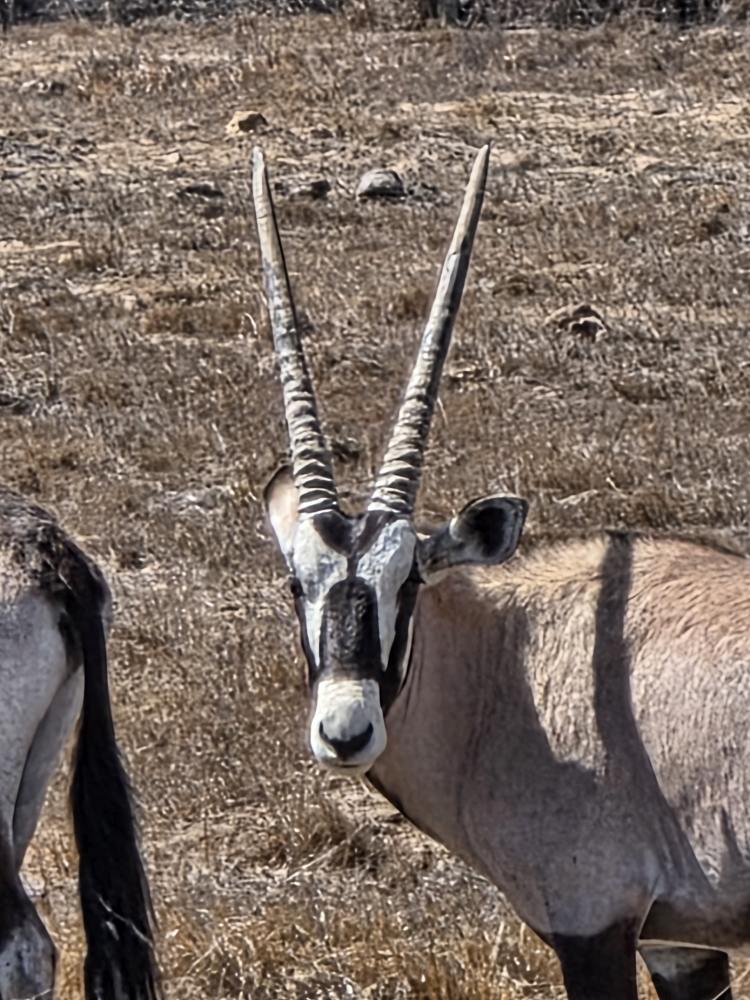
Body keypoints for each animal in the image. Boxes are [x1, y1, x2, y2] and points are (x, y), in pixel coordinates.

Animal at [252, 142, 750, 1000]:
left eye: (409, 581)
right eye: (297, 584)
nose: (346, 731)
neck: (507, 664)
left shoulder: (592, 920)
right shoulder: (679, 943)